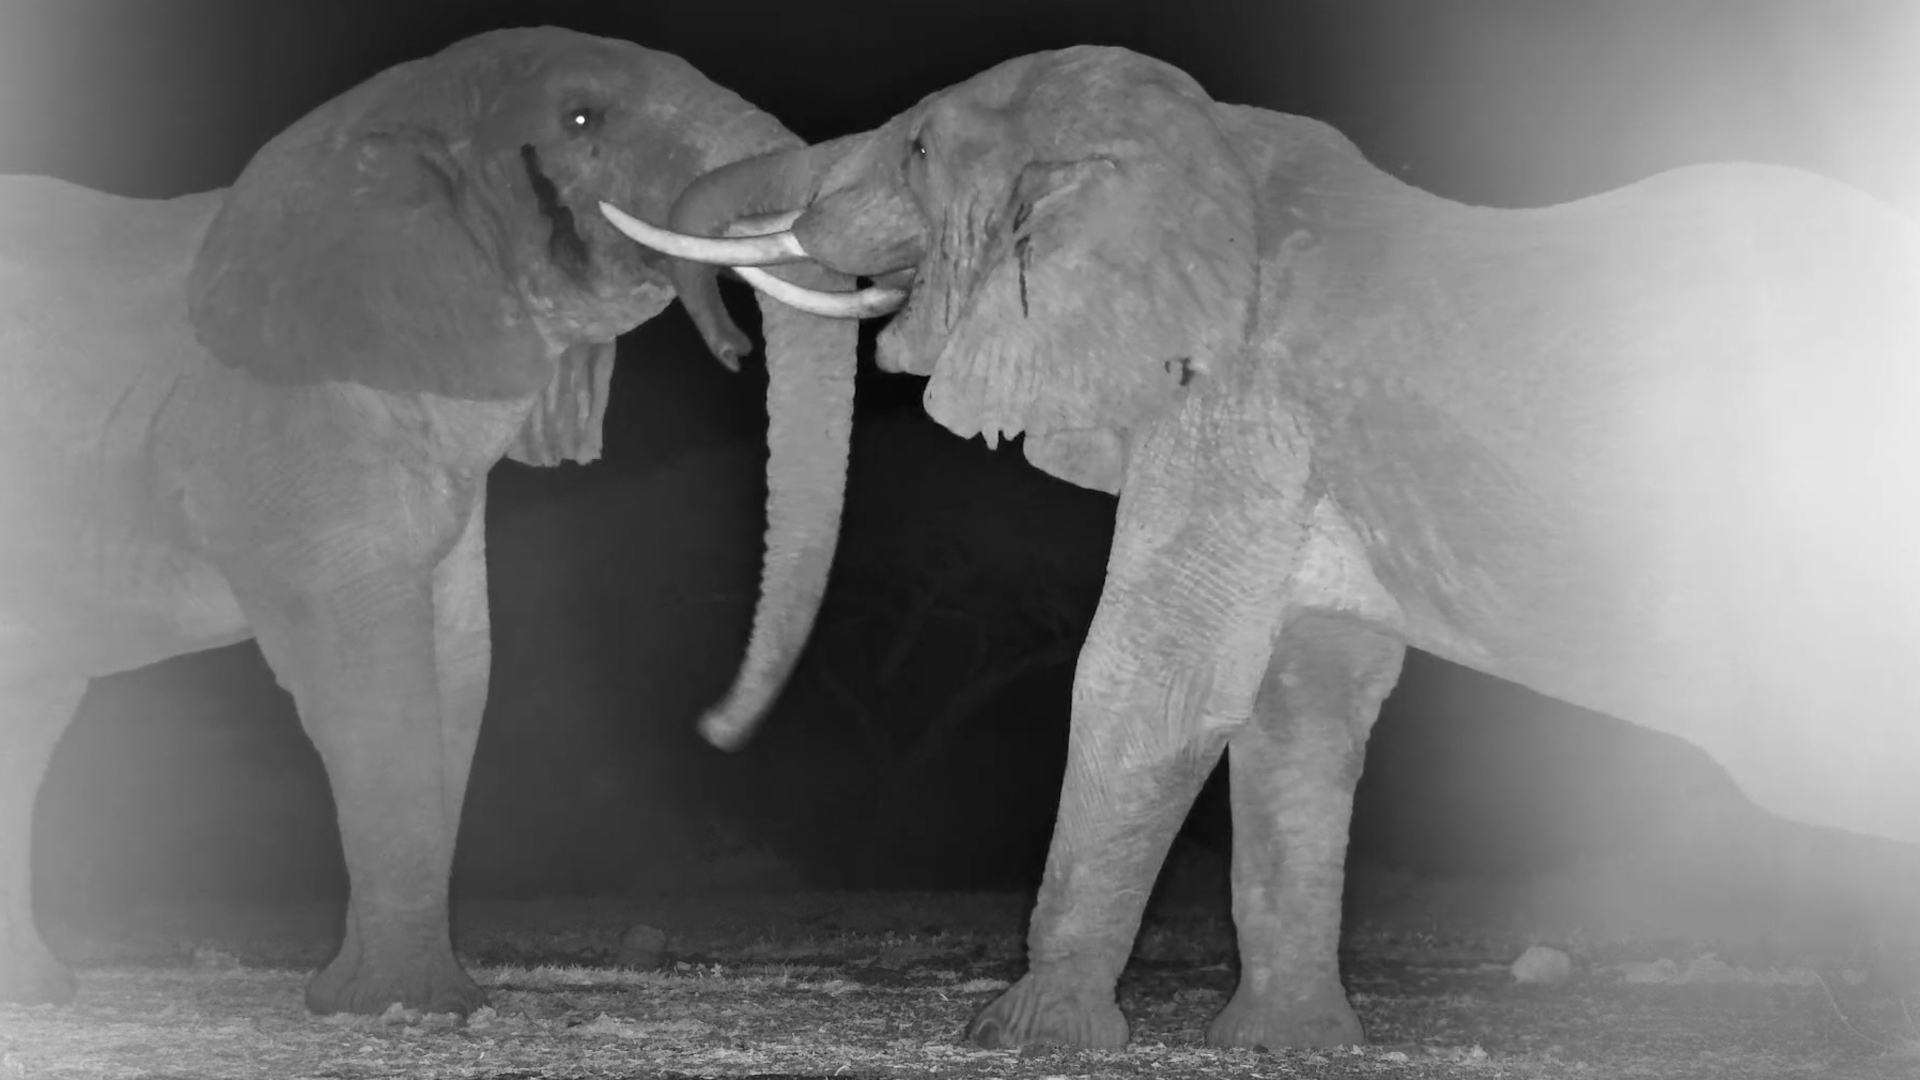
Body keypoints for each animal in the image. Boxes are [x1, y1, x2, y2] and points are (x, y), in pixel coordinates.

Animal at [0, 26, 855, 1015]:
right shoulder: (285, 421)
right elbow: (370, 663)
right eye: (582, 119)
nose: (715, 729)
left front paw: (358, 997)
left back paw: (36, 994)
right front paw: (405, 1004)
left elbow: (458, 659)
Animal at [605, 46, 1920, 1049]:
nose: (714, 731)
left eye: (921, 147)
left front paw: (1019, 1037)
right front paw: (1287, 1047)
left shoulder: (1237, 401)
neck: (1212, 151)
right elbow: (1300, 699)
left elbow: (1156, 681)